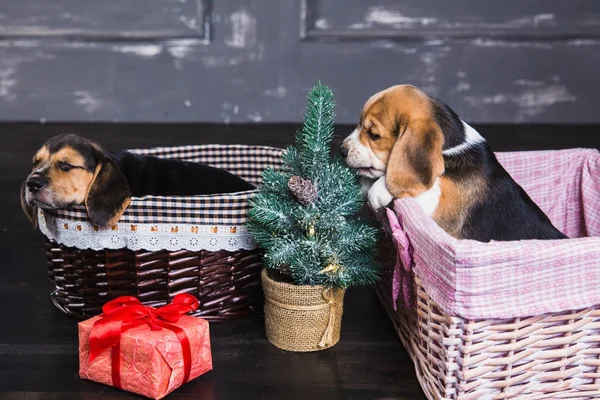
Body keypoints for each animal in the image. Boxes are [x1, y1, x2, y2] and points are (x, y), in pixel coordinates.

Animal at [342, 84, 568, 241]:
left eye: (373, 135)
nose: (342, 150)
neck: (450, 150)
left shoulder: (438, 212)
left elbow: (423, 186)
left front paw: (379, 189)